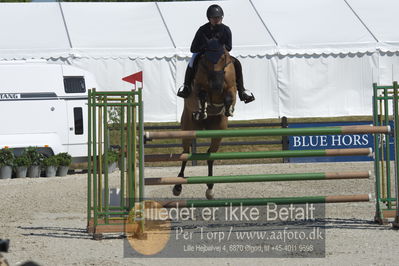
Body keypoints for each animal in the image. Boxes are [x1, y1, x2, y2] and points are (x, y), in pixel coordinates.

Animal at [173, 38, 236, 198]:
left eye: (223, 57)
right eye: (206, 58)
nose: (216, 85)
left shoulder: (231, 88)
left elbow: (229, 96)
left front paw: (228, 109)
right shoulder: (198, 87)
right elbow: (201, 94)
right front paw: (202, 110)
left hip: (218, 132)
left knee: (210, 154)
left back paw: (210, 187)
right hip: (188, 128)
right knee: (185, 153)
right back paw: (177, 186)